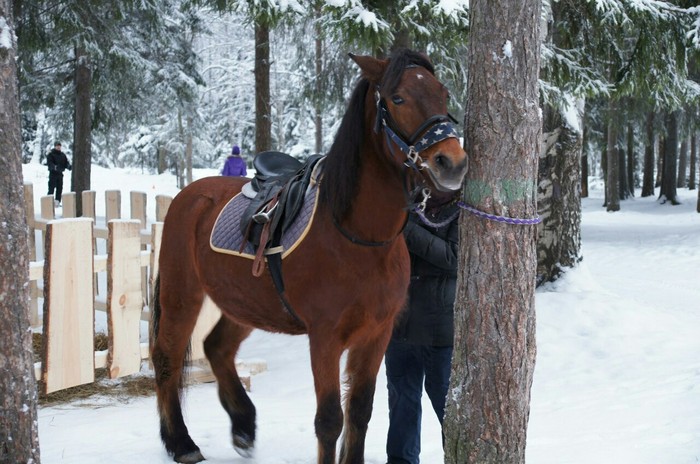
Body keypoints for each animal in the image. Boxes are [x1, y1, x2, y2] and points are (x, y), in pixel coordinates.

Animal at [154, 48, 470, 464]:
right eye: (398, 98)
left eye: (443, 93)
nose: (452, 162)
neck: (358, 238)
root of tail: (189, 196)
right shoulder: (325, 337)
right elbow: (330, 420)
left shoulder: (377, 334)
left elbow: (360, 410)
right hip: (182, 296)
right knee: (168, 359)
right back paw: (181, 442)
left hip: (245, 302)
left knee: (216, 348)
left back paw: (243, 424)